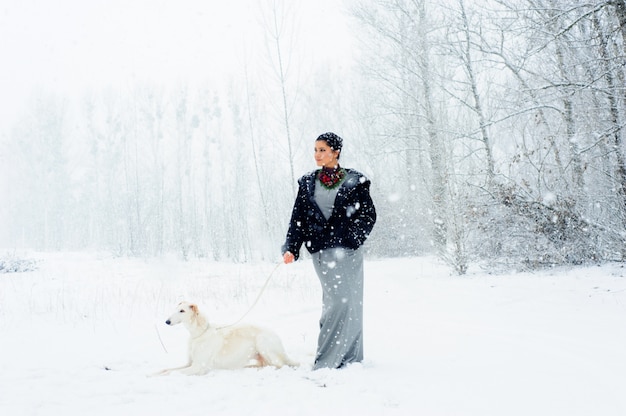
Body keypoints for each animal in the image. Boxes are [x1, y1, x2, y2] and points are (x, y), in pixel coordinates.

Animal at [152, 300, 296, 376]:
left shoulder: (198, 367)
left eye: (182, 311)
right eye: (175, 309)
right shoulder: (190, 363)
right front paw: (152, 373)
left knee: (279, 365)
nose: (167, 321)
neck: (199, 334)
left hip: (263, 343)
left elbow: (170, 373)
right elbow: (166, 369)